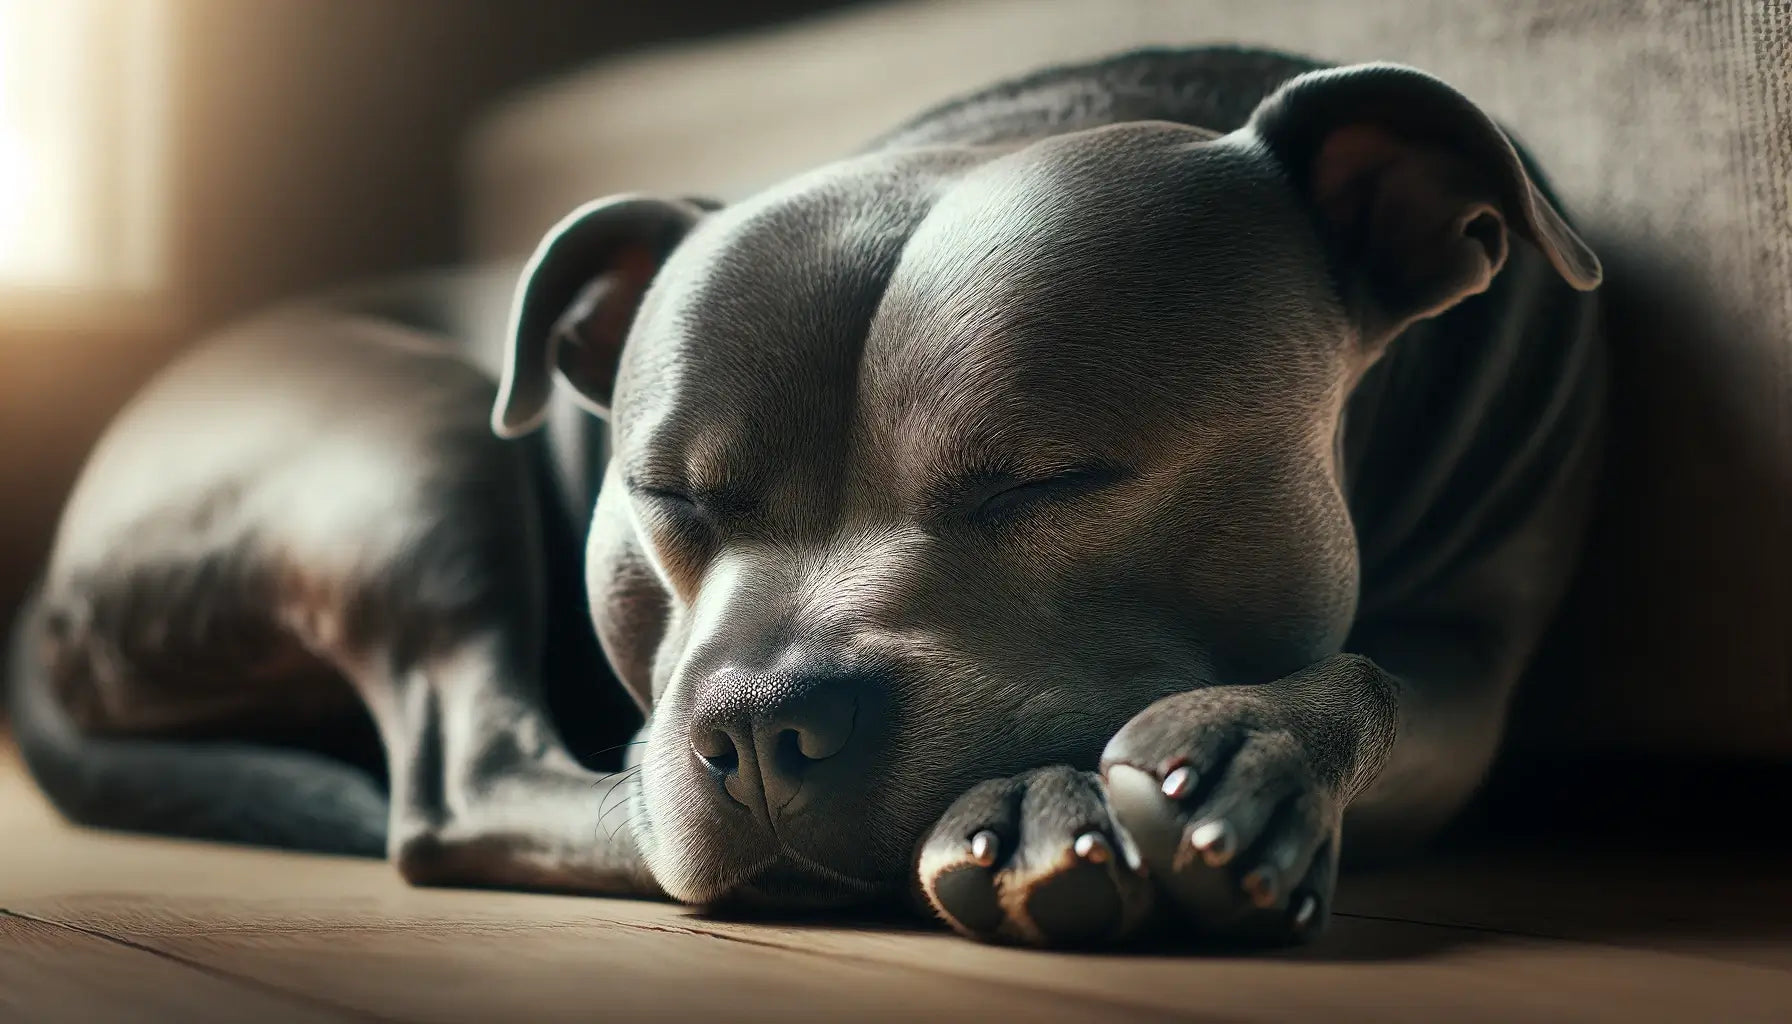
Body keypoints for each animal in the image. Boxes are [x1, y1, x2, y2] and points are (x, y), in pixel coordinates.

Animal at [10, 46, 1612, 946]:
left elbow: (1376, 677)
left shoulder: (1476, 670)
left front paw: (1233, 756)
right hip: (408, 444)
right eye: (663, 496)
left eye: (1049, 479)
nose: (756, 730)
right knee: (466, 786)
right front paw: (1070, 800)